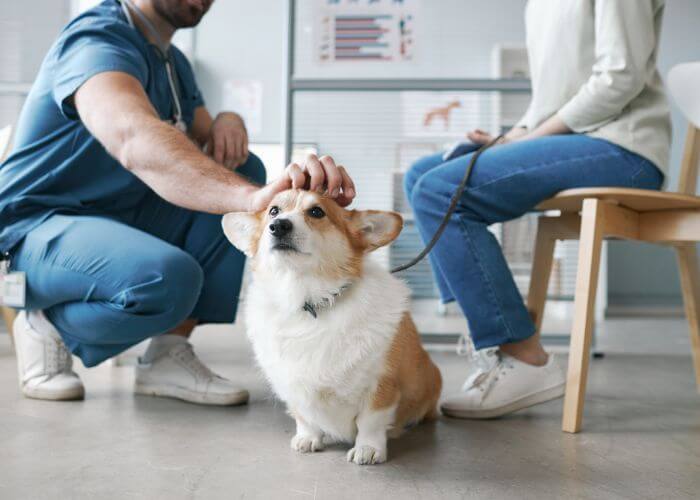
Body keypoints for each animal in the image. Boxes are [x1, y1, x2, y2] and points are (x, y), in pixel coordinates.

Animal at [223, 188, 442, 464]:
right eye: (273, 210)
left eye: (317, 212)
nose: (278, 226)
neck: (308, 300)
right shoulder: (292, 385)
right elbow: (304, 417)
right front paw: (308, 438)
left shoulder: (381, 384)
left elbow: (370, 421)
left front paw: (368, 449)